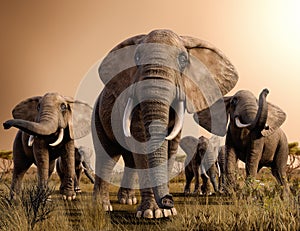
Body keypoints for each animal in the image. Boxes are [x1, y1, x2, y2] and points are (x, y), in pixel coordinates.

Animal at [92, 28, 238, 218]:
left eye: (183, 59)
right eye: (137, 58)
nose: (168, 200)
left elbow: (171, 147)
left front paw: (167, 211)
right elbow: (143, 147)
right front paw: (151, 213)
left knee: (129, 158)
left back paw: (127, 200)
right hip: (97, 114)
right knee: (107, 156)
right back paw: (102, 207)